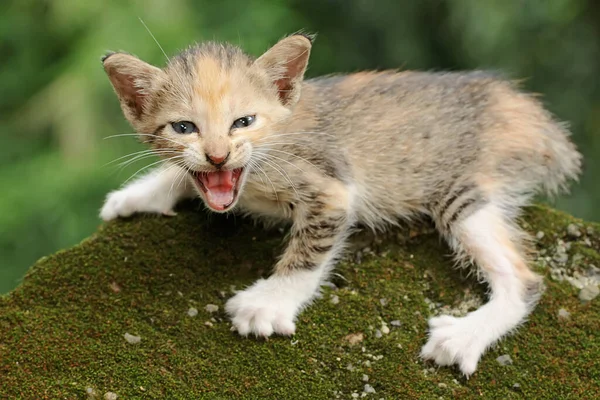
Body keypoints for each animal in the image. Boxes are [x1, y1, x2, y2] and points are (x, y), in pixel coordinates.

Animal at [99, 33, 580, 376]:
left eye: (243, 122)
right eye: (184, 127)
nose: (218, 156)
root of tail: (522, 108)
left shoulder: (332, 188)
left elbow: (308, 254)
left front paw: (269, 304)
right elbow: (183, 172)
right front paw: (137, 195)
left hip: (460, 192)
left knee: (525, 280)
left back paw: (463, 336)